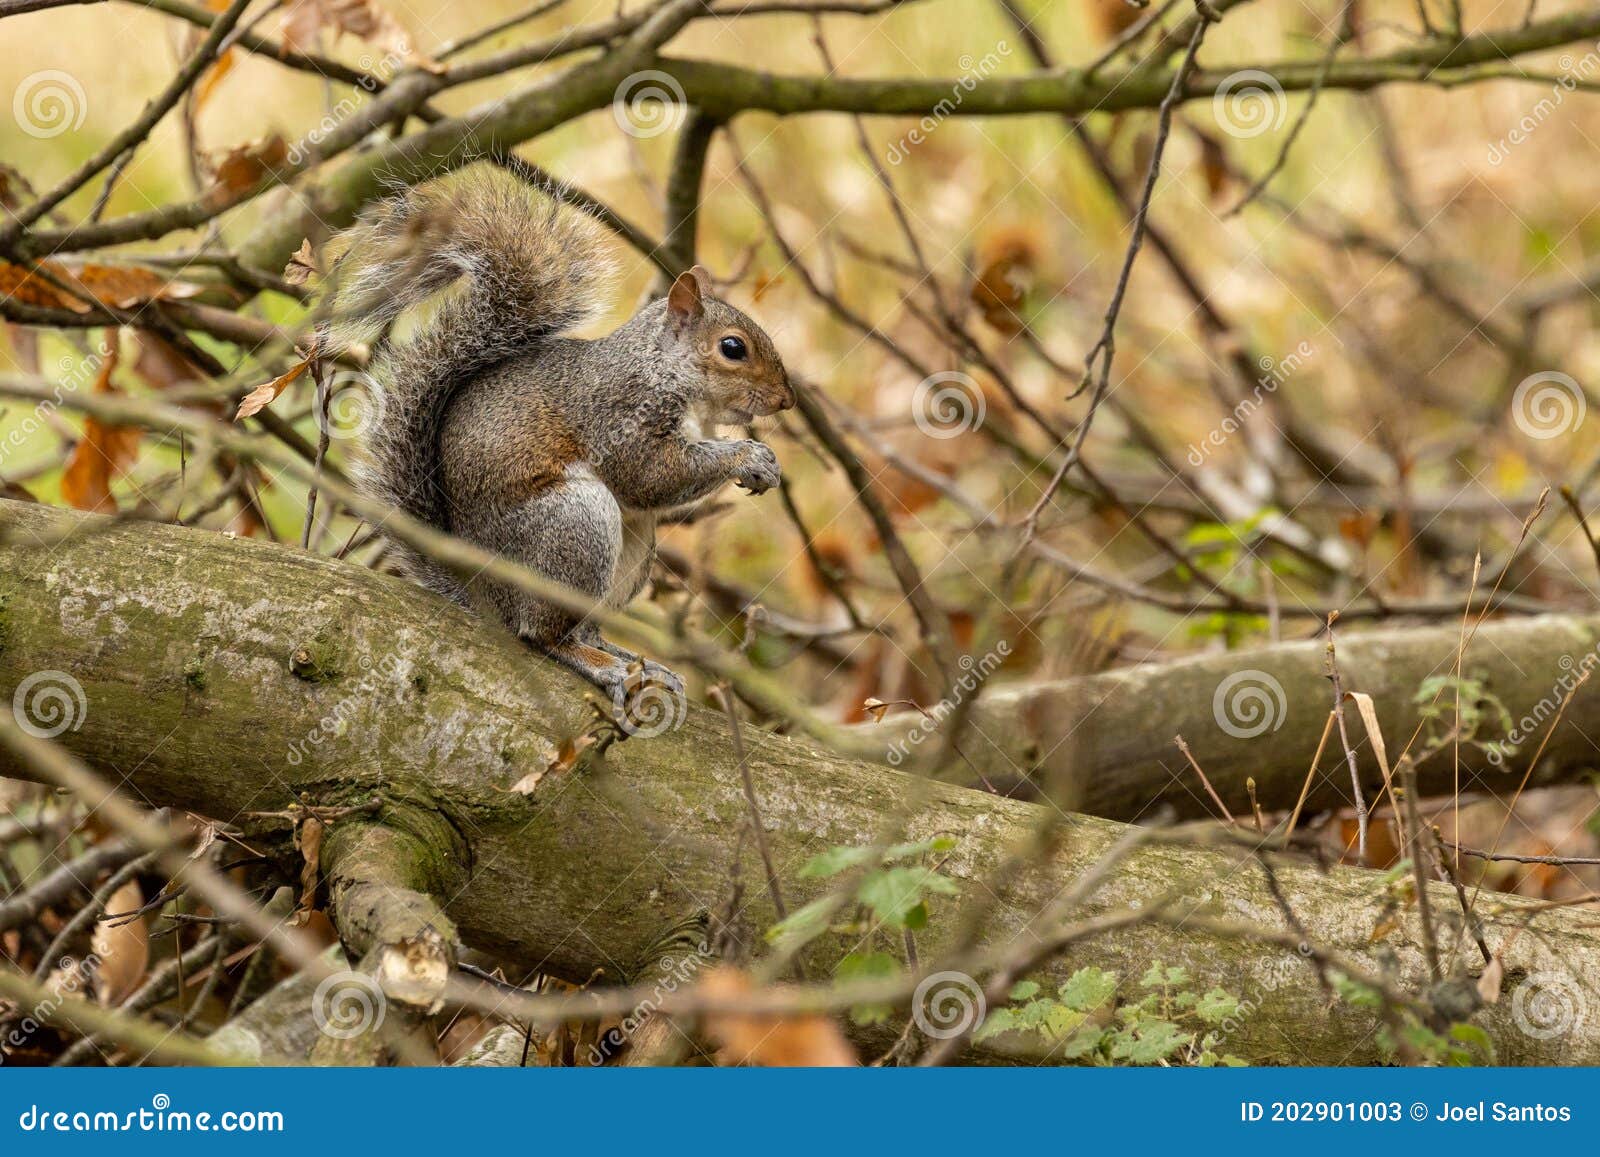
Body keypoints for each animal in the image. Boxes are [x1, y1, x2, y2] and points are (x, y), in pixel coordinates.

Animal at [326, 168, 794, 701]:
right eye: (732, 348)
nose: (786, 400)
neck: (663, 369)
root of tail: (485, 595)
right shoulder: (618, 412)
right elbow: (648, 475)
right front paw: (747, 456)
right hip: (576, 523)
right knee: (542, 634)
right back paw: (598, 664)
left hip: (633, 548)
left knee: (583, 625)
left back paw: (630, 659)